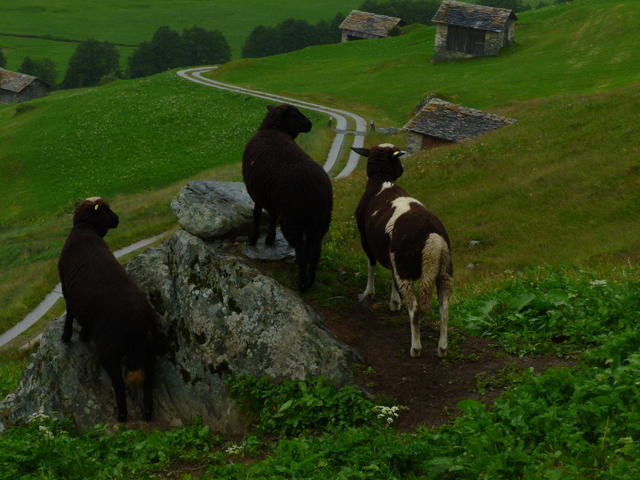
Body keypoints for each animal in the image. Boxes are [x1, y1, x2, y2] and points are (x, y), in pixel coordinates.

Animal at [58, 197, 156, 422]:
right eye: (106, 210)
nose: (117, 219)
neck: (84, 229)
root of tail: (137, 325)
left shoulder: (65, 286)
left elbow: (69, 311)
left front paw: (67, 336)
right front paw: (82, 334)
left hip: (109, 350)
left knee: (119, 383)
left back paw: (122, 415)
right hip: (148, 350)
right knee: (148, 380)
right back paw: (147, 413)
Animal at [243, 104, 333, 292]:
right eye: (295, 114)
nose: (310, 124)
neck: (274, 130)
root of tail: (316, 190)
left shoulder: (258, 193)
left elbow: (257, 215)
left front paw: (252, 240)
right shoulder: (271, 197)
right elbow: (272, 217)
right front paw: (269, 239)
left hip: (293, 219)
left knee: (301, 250)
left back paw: (302, 283)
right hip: (321, 221)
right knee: (315, 251)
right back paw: (310, 281)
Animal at [352, 144, 453, 358]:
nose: (402, 169)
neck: (382, 181)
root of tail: (432, 241)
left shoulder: (366, 240)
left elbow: (371, 265)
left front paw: (368, 293)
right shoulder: (391, 255)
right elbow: (391, 275)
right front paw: (394, 302)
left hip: (406, 267)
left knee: (414, 309)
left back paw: (415, 348)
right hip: (444, 271)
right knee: (444, 309)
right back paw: (442, 348)